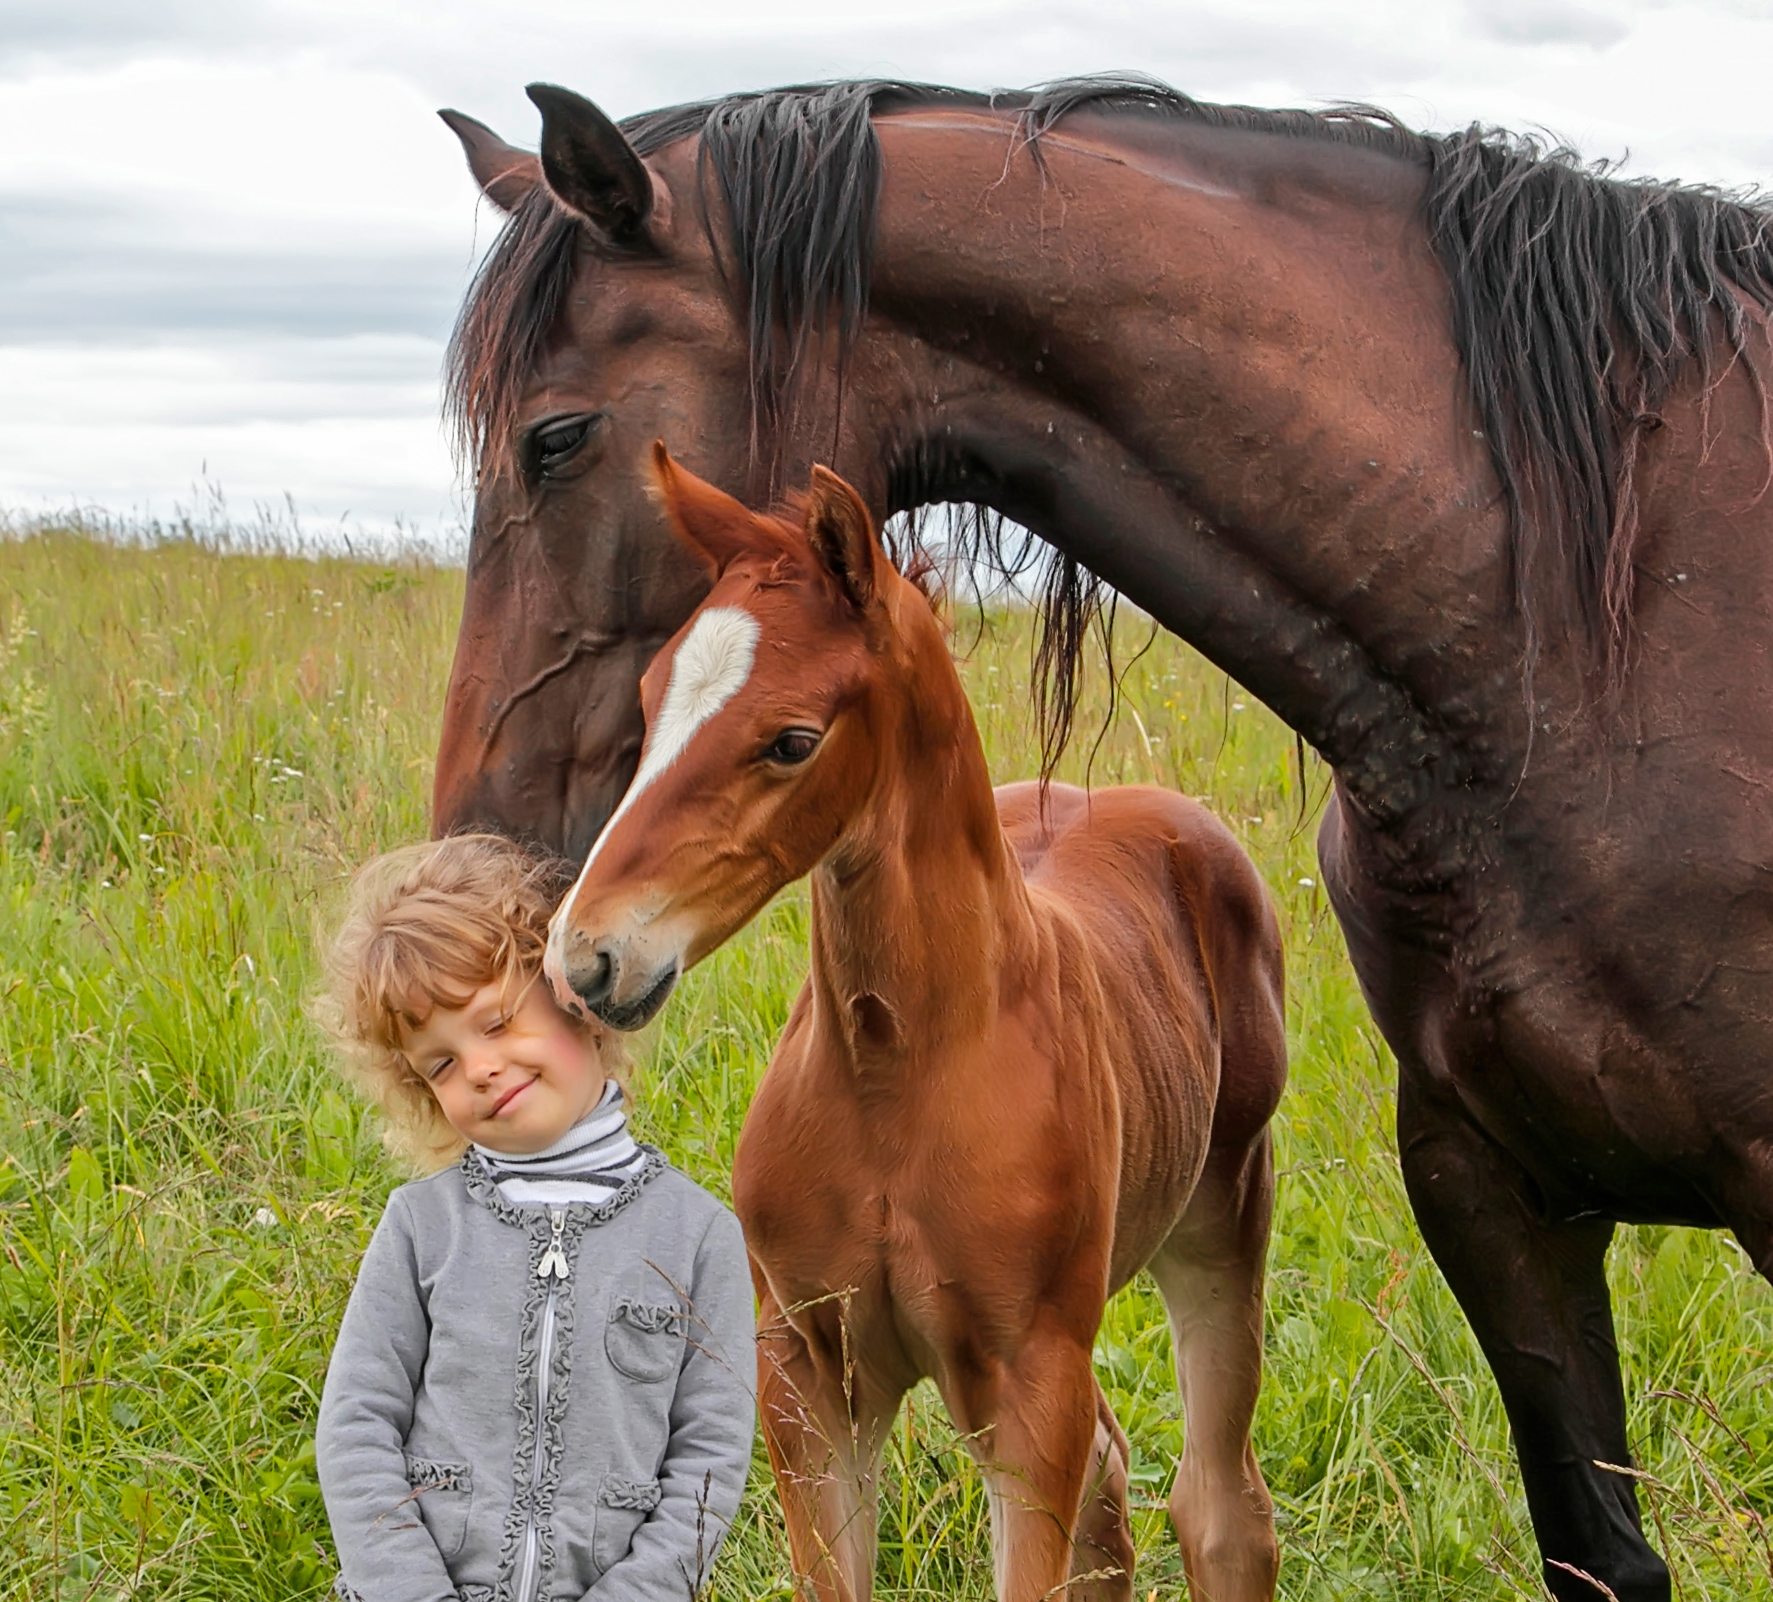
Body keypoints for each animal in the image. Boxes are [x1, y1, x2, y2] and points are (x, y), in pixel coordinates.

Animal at [542, 446, 1290, 1602]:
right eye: (652, 694)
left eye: (791, 740)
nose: (586, 956)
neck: (900, 1071)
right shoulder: (809, 1373)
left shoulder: (1031, 1386)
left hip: (1222, 1216)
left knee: (1220, 1508)